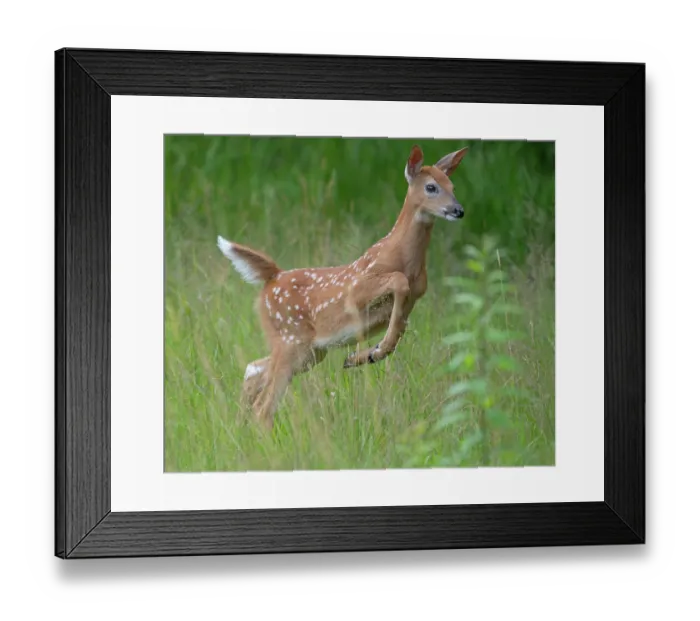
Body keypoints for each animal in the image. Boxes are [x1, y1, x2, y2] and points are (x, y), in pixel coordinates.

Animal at [217, 144, 468, 429]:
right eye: (431, 187)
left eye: (452, 186)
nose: (458, 210)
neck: (404, 258)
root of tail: (273, 277)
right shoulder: (358, 286)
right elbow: (398, 282)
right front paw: (372, 352)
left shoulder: (413, 300)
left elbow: (398, 331)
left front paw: (365, 356)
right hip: (291, 339)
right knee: (264, 407)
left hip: (310, 352)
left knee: (253, 370)